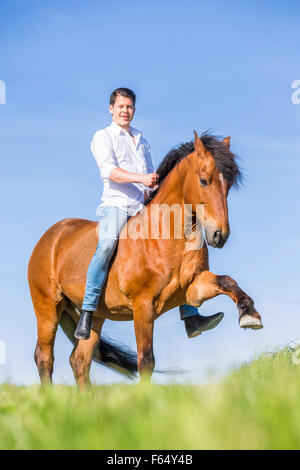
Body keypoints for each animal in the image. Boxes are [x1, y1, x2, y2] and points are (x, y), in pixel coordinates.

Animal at [28, 131, 262, 390]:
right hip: (48, 307)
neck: (165, 237)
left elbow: (228, 281)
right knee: (44, 357)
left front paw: (249, 314)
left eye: (228, 184)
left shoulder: (193, 288)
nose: (220, 235)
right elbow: (146, 360)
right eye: (204, 181)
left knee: (79, 360)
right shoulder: (143, 305)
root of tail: (51, 236)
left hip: (96, 318)